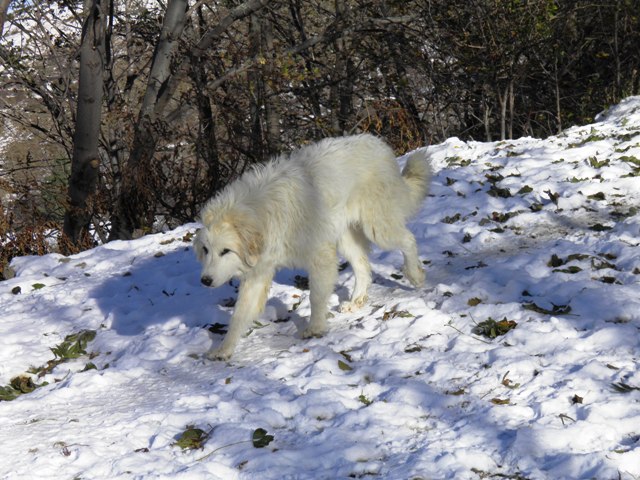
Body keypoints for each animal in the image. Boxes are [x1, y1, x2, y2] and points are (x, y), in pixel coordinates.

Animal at [194, 133, 430, 358]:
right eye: (206, 250)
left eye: (225, 251)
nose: (205, 281)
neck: (264, 214)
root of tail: (379, 144)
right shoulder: (257, 275)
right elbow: (239, 316)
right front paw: (223, 350)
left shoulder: (320, 255)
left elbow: (316, 296)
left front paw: (315, 328)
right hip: (346, 239)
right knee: (363, 266)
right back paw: (355, 301)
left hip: (378, 228)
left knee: (408, 240)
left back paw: (415, 275)